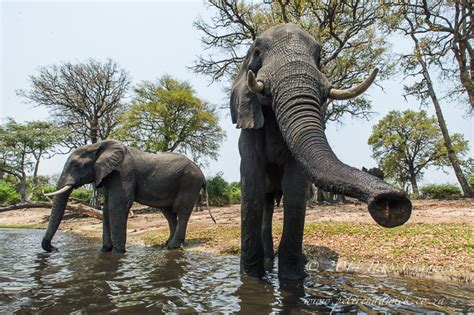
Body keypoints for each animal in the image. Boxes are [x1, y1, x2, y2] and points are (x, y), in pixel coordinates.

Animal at [44, 141, 206, 254]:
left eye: (77, 165)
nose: (55, 249)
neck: (97, 146)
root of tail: (202, 174)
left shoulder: (123, 173)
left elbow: (117, 206)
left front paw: (117, 252)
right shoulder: (109, 175)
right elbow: (106, 209)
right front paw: (104, 250)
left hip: (189, 183)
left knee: (181, 211)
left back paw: (172, 246)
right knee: (169, 213)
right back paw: (169, 244)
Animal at [231, 24, 412, 282]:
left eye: (319, 58)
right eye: (257, 52)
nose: (392, 203)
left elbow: (296, 190)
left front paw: (293, 278)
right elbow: (251, 187)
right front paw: (250, 278)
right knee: (265, 201)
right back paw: (267, 261)